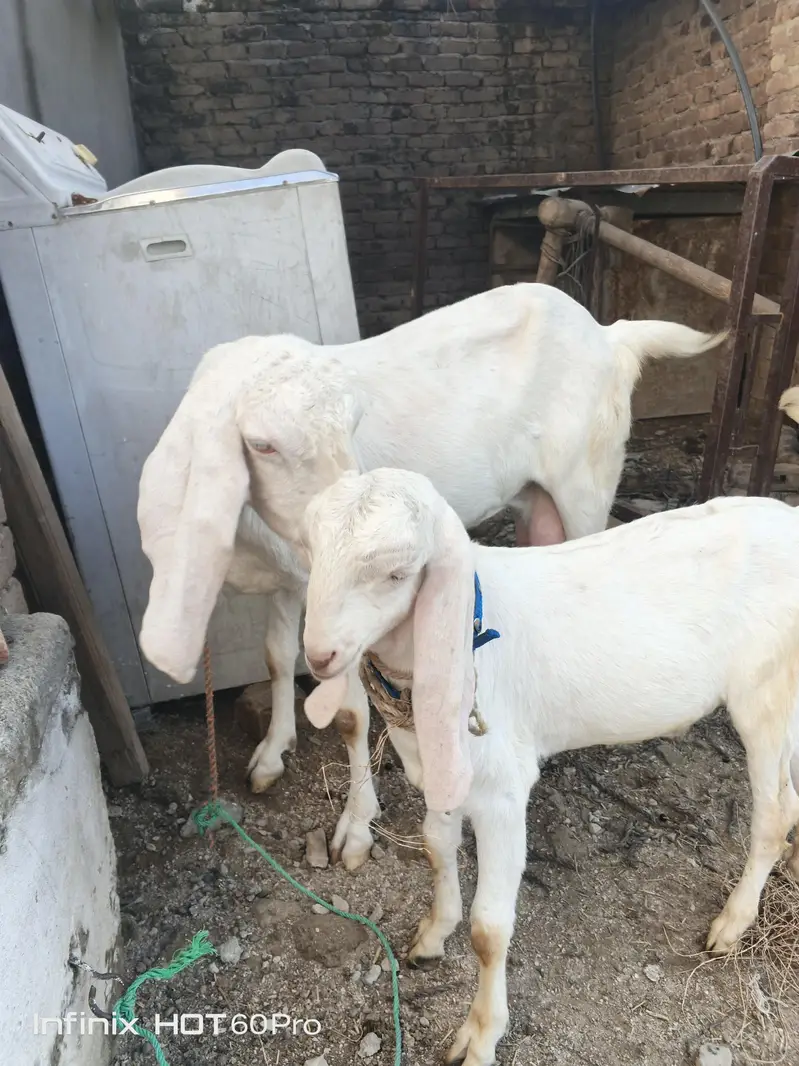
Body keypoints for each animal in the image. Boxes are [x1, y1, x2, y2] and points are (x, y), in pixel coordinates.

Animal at [138, 283, 721, 871]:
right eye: (261, 444)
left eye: (353, 425)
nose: (350, 513)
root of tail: (608, 333)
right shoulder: (293, 579)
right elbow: (277, 659)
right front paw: (272, 753)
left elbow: (350, 716)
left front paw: (356, 828)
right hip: (537, 502)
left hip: (587, 480)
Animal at [300, 467, 799, 1066]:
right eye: (309, 550)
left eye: (397, 573)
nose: (318, 655)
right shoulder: (443, 769)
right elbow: (436, 847)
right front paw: (432, 935)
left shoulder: (502, 789)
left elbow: (489, 931)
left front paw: (480, 1034)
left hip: (764, 694)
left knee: (773, 814)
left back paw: (733, 922)